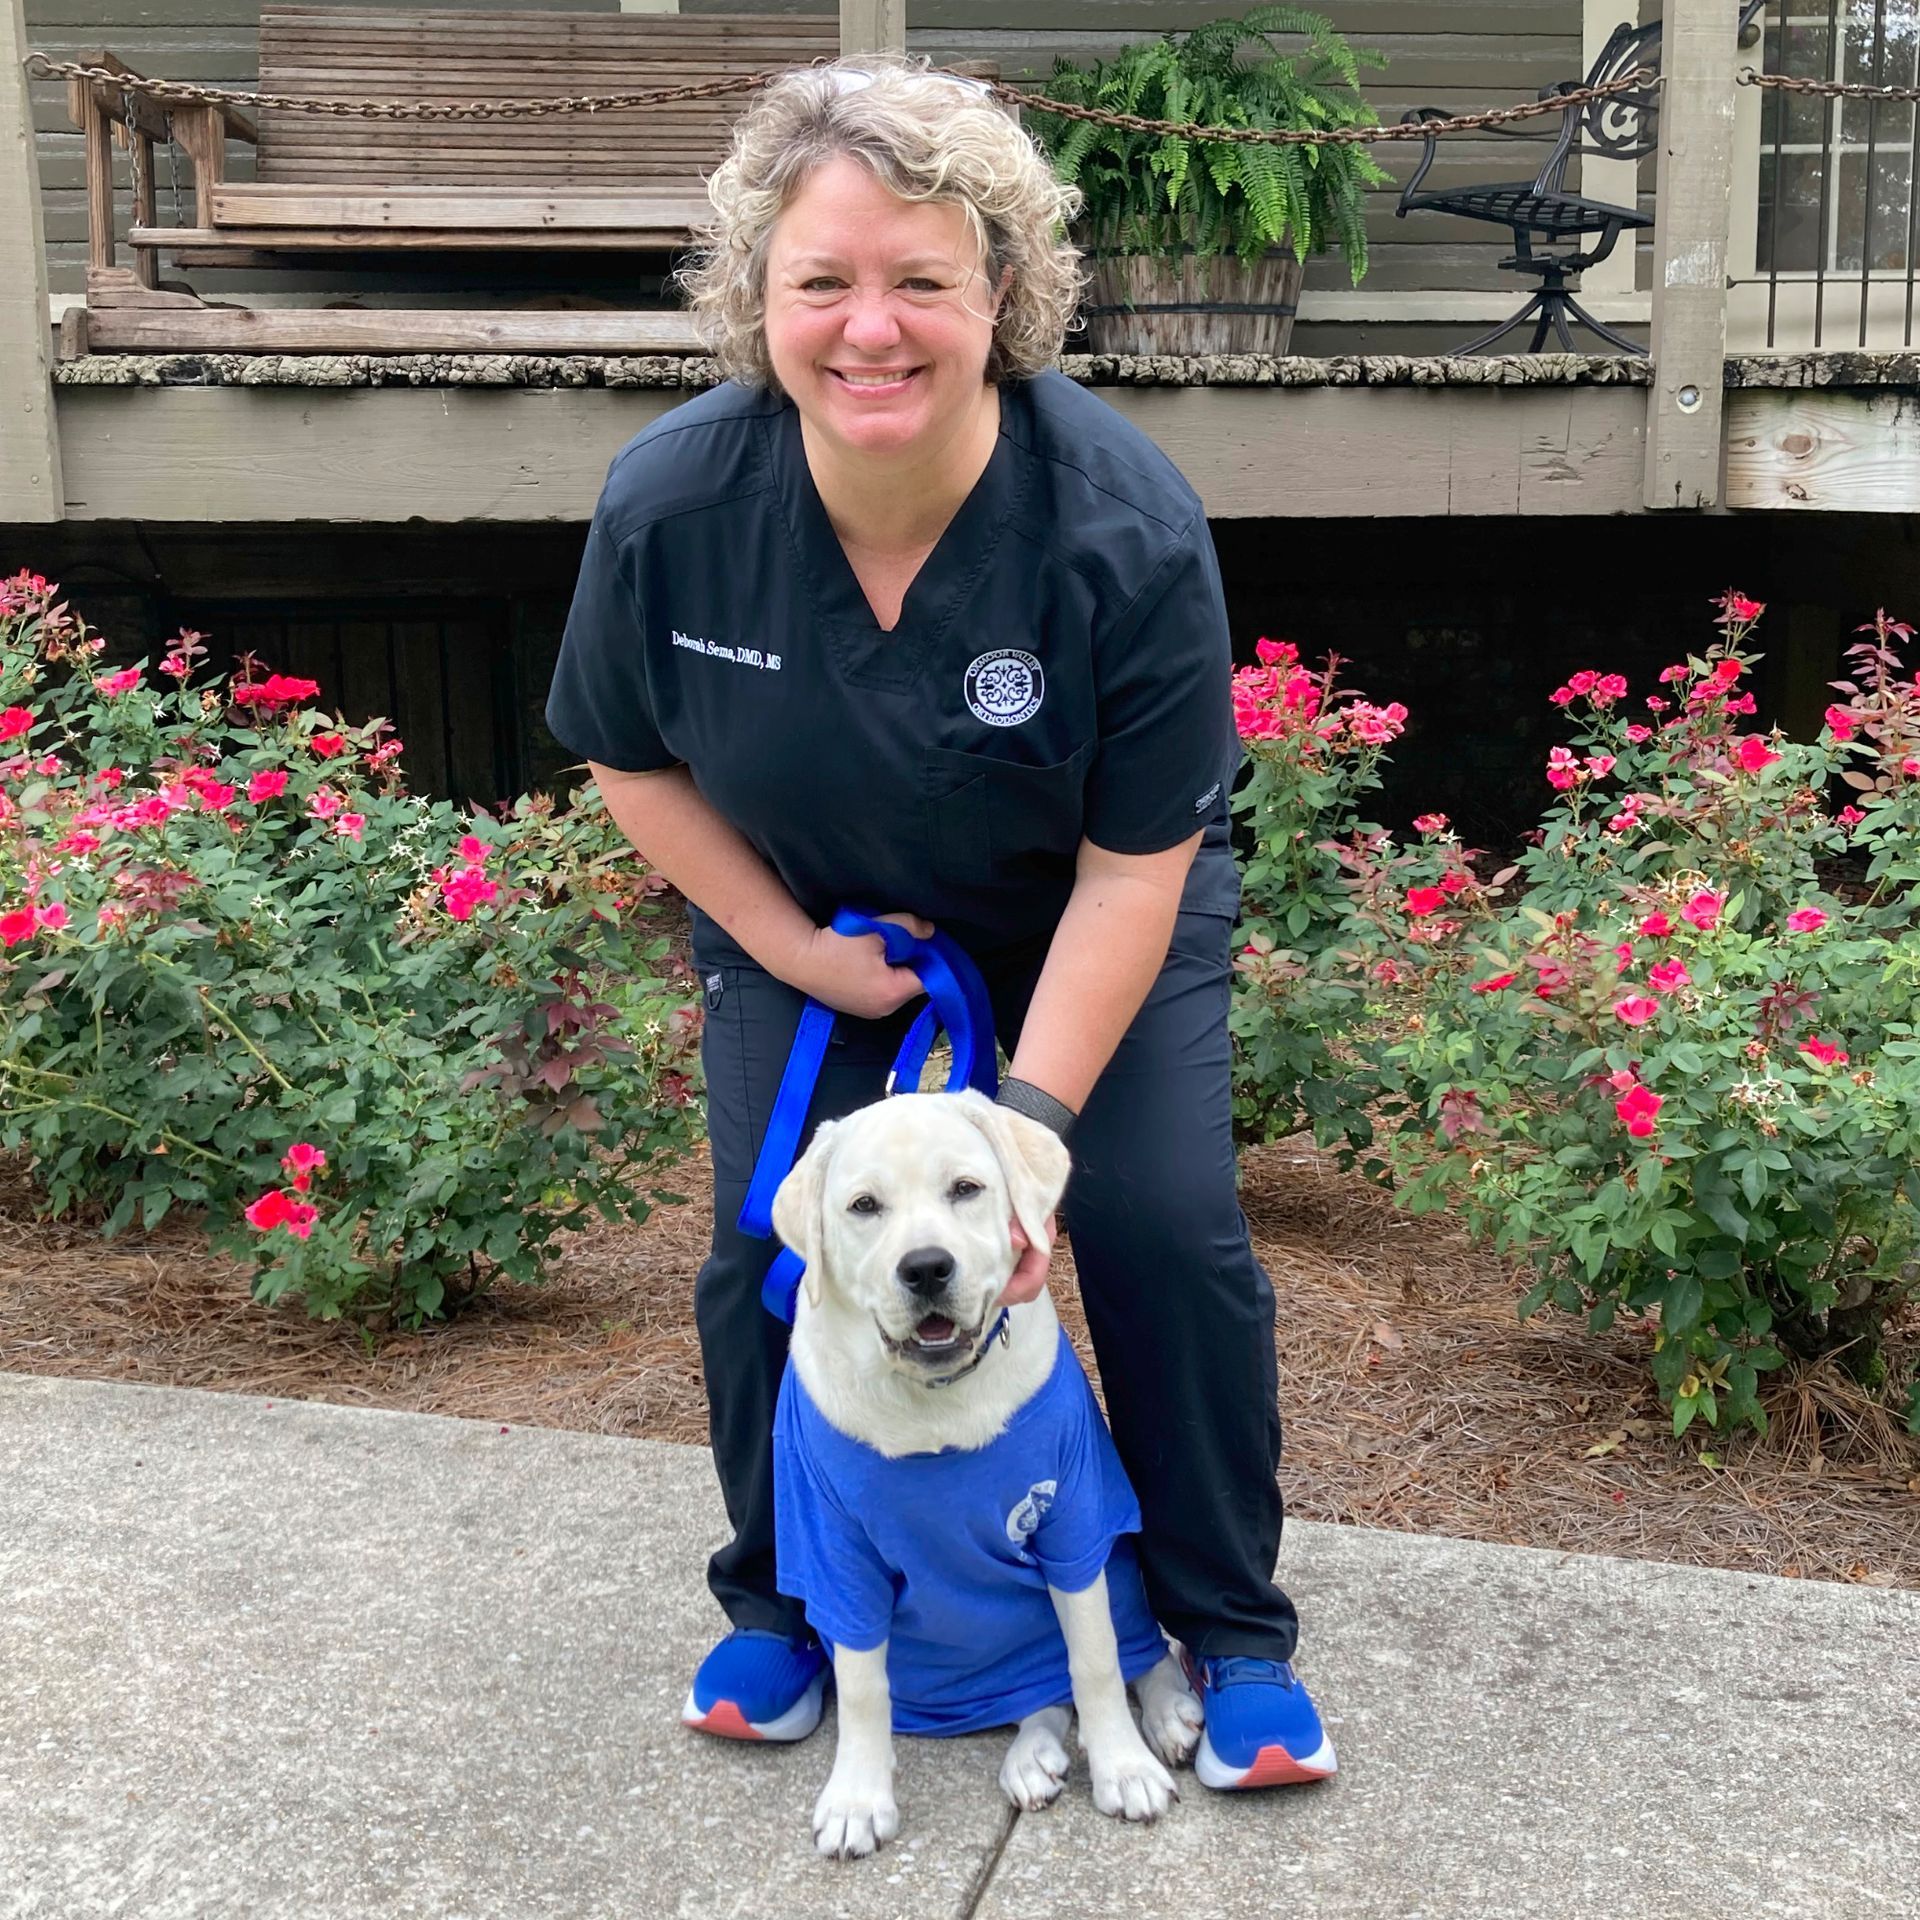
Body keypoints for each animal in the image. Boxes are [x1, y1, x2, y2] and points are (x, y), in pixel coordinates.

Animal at [768, 1098, 1198, 1858]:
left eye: (965, 1189)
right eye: (864, 1206)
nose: (926, 1268)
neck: (932, 1403)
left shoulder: (1074, 1525)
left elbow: (1096, 1660)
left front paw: (1123, 1767)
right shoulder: (834, 1552)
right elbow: (861, 1690)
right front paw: (857, 1798)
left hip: (1116, 1564)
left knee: (1127, 1650)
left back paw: (1168, 1711)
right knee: (1036, 1701)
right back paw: (1033, 1757)